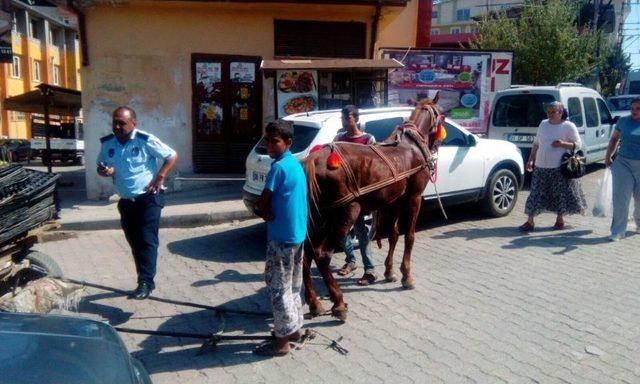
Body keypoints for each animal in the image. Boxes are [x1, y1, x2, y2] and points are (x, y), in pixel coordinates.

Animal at [302, 97, 442, 320]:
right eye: (441, 114)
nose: (438, 144)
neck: (411, 147)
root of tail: (313, 161)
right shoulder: (414, 199)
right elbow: (409, 236)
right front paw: (407, 276)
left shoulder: (395, 202)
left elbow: (393, 235)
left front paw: (390, 272)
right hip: (343, 215)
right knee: (322, 255)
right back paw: (338, 302)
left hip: (317, 218)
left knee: (306, 254)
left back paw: (314, 303)